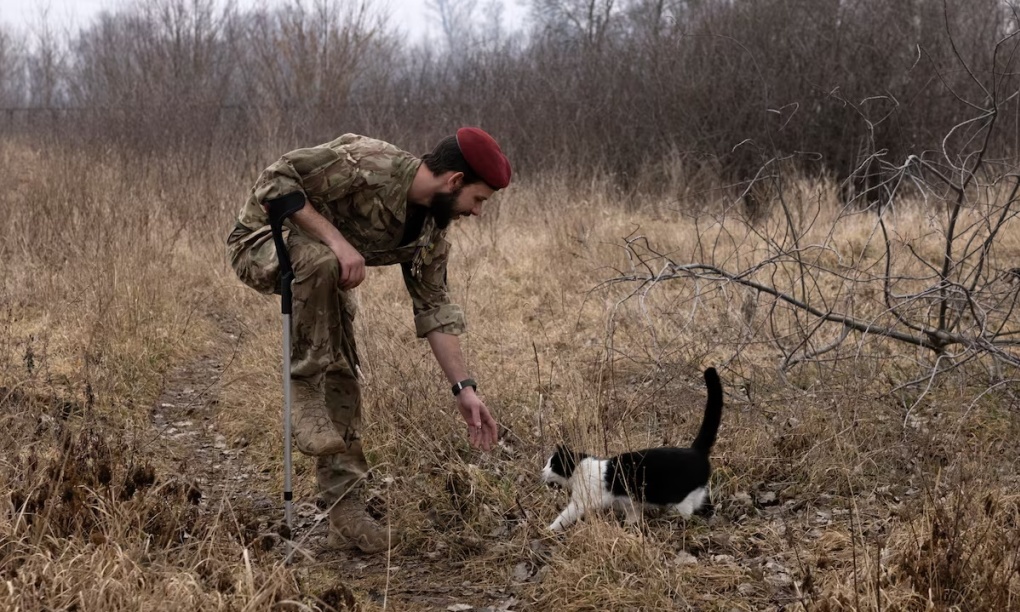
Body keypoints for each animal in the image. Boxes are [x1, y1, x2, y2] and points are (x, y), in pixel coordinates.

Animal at [542, 367, 726, 530]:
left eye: (553, 465)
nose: (542, 471)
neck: (579, 469)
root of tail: (695, 450)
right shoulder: (632, 505)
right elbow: (633, 516)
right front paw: (630, 528)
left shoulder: (581, 503)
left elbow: (564, 517)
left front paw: (549, 531)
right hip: (698, 495)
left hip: (680, 503)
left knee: (686, 516)